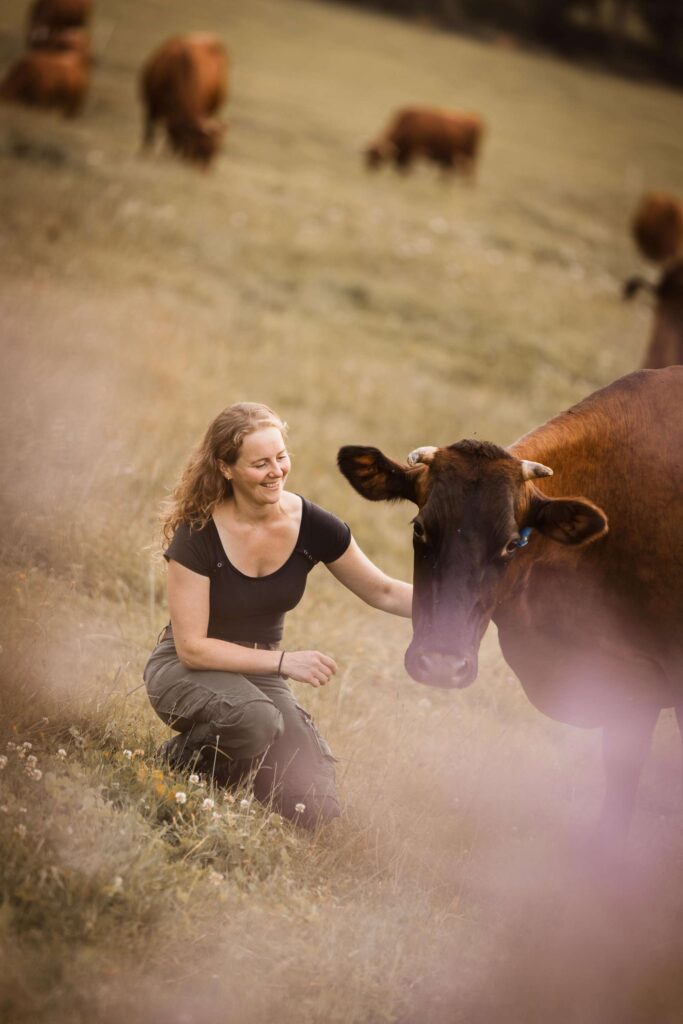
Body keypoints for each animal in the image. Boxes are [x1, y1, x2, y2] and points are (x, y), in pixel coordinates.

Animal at [140, 33, 228, 167]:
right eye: (201, 144)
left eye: (218, 148)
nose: (205, 168)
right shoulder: (152, 104)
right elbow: (150, 128)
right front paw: (146, 152)